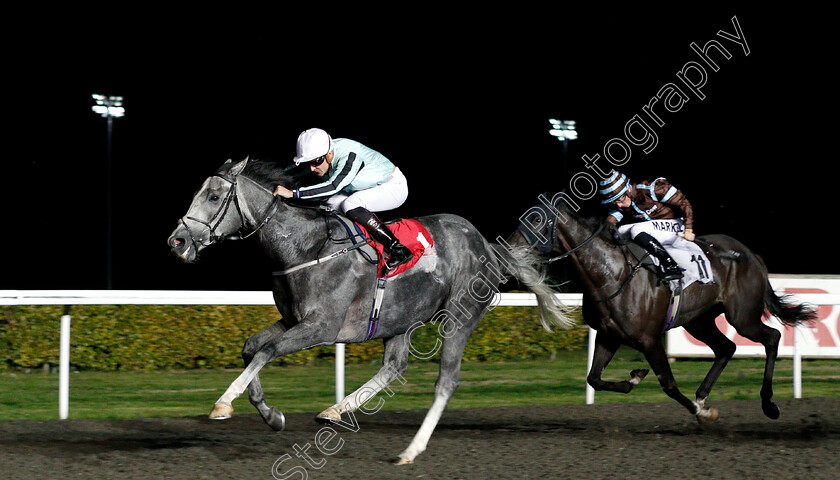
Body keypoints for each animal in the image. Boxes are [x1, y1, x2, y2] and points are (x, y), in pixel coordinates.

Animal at [167, 158, 576, 464]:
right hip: (401, 319)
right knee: (394, 367)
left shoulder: (322, 326)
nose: (178, 241)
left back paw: (410, 450)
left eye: (214, 195)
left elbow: (266, 351)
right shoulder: (292, 319)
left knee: (446, 381)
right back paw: (335, 410)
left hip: (460, 317)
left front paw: (223, 403)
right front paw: (271, 416)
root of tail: (488, 248)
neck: (304, 247)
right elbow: (251, 348)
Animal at [508, 193, 816, 422]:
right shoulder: (608, 335)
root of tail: (751, 255)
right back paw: (702, 393)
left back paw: (768, 404)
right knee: (726, 348)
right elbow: (594, 378)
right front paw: (635, 378)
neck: (611, 273)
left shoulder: (649, 339)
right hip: (698, 320)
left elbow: (668, 384)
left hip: (742, 316)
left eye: (536, 220)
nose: (507, 252)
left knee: (772, 337)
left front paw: (700, 411)